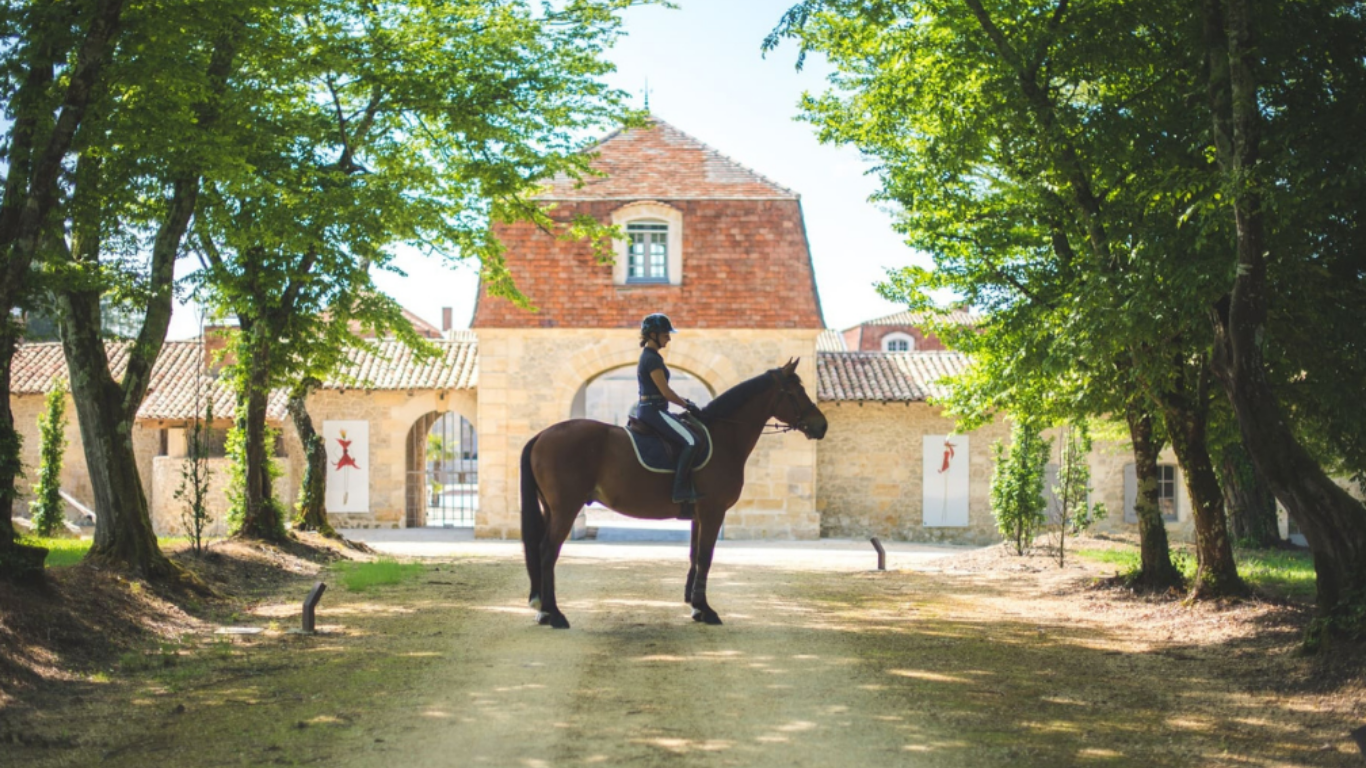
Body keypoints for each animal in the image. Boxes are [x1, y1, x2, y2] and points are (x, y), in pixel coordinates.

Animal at [519, 358, 829, 629]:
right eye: (796, 391)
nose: (822, 425)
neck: (724, 437)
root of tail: (542, 435)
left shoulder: (699, 515)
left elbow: (694, 555)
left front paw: (695, 606)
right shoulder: (713, 511)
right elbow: (705, 557)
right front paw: (706, 610)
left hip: (551, 508)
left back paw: (544, 612)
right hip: (566, 508)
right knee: (548, 551)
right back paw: (554, 614)